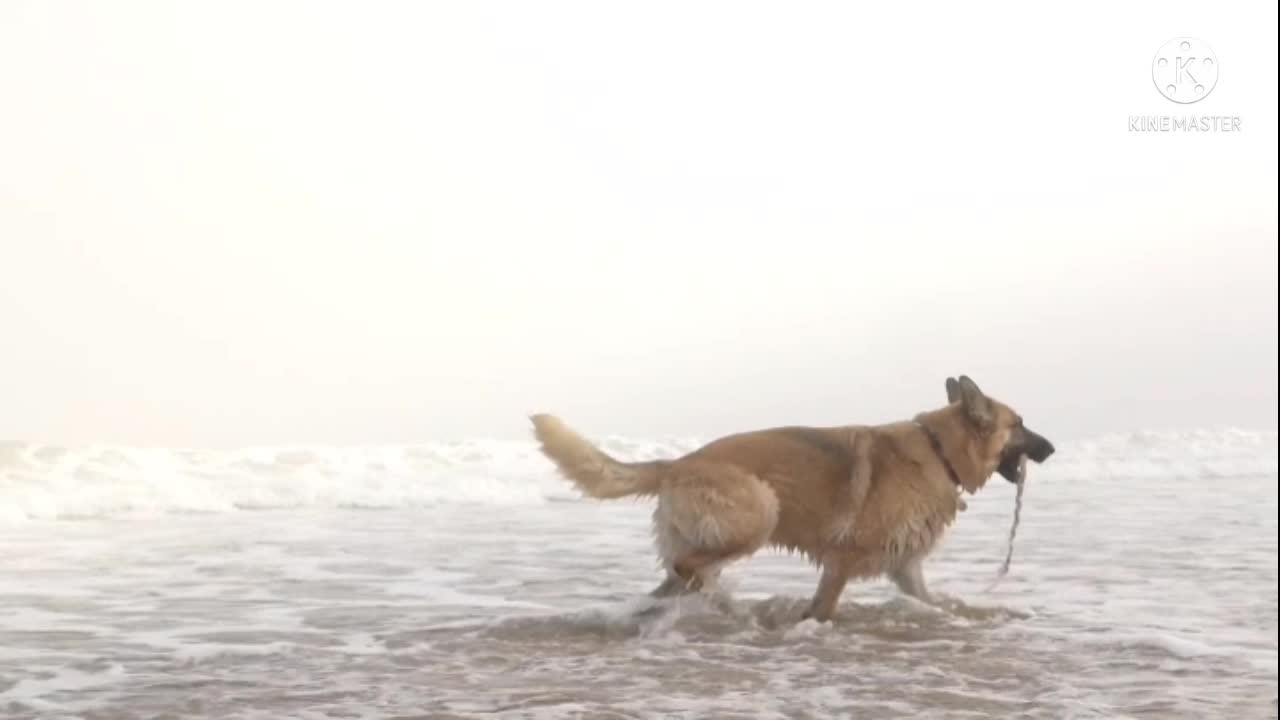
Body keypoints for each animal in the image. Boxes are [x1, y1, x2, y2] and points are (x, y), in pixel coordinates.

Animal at [527, 376, 1049, 617]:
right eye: (1020, 424)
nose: (1052, 448)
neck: (939, 450)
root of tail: (676, 464)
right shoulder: (842, 561)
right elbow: (822, 611)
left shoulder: (906, 571)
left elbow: (937, 603)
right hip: (760, 513)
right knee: (690, 567)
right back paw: (728, 606)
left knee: (673, 580)